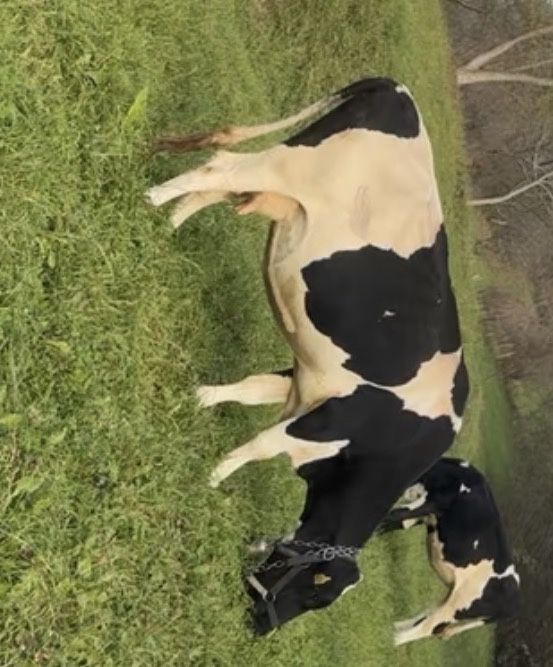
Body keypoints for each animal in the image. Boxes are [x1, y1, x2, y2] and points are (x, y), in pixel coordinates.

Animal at [146, 76, 469, 633]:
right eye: (317, 588)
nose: (259, 626)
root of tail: (397, 88)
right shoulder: (327, 420)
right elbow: (258, 446)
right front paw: (210, 478)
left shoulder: (309, 384)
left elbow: (252, 389)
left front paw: (198, 398)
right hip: (287, 166)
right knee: (221, 166)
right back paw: (152, 199)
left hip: (285, 193)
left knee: (218, 187)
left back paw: (168, 222)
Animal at [378, 457, 521, 645]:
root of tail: (514, 603)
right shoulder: (425, 513)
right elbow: (398, 521)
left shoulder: (431, 502)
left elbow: (394, 513)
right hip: (454, 596)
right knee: (430, 615)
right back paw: (395, 627)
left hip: (460, 604)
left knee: (429, 626)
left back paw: (392, 639)